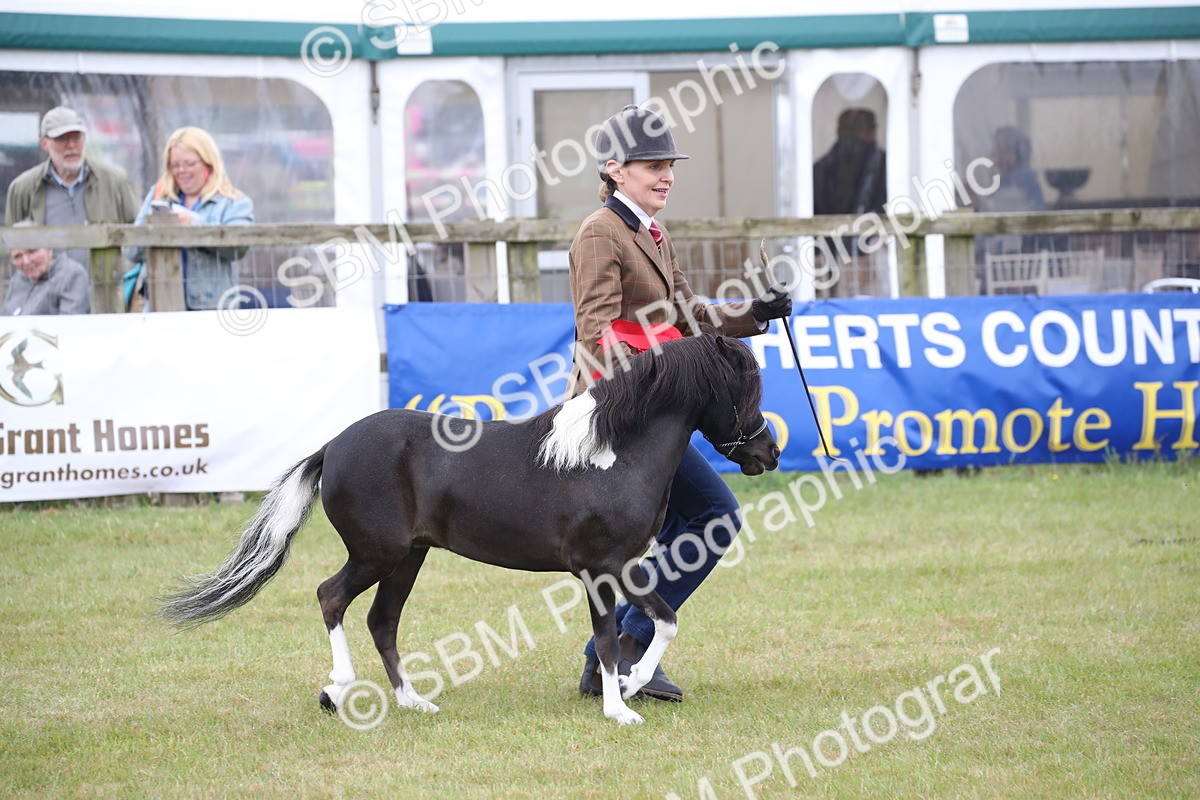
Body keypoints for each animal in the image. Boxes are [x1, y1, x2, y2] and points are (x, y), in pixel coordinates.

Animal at [157, 331, 780, 725]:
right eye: (744, 387)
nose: (769, 452)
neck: (612, 454)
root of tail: (332, 445)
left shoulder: (622, 565)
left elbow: (663, 620)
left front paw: (627, 687)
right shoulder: (601, 568)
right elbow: (616, 635)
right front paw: (618, 708)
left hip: (408, 557)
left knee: (382, 621)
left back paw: (413, 703)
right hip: (377, 553)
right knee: (330, 597)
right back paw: (338, 688)